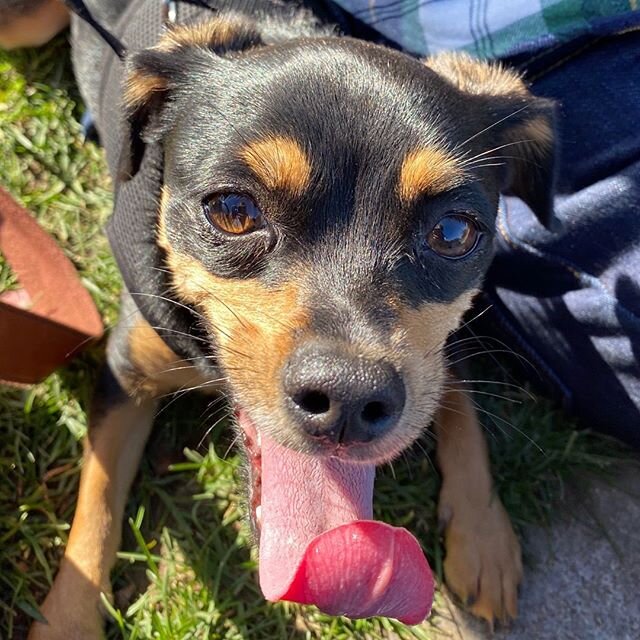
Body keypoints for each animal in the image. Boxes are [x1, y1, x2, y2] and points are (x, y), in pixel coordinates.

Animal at [2, 0, 556, 636]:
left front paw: (483, 537)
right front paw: (68, 619)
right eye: (232, 209)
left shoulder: (438, 350)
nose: (349, 399)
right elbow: (96, 498)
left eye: (452, 232)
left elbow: (459, 398)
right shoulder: (125, 370)